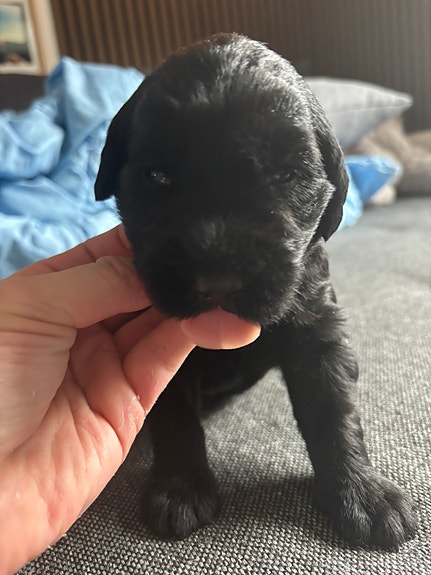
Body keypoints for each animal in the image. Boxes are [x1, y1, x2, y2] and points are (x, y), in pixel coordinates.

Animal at [95, 33, 416, 549]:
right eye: (157, 176)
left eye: (287, 174)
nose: (217, 282)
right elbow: (174, 416)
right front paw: (180, 490)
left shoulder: (316, 330)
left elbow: (334, 411)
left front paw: (362, 494)